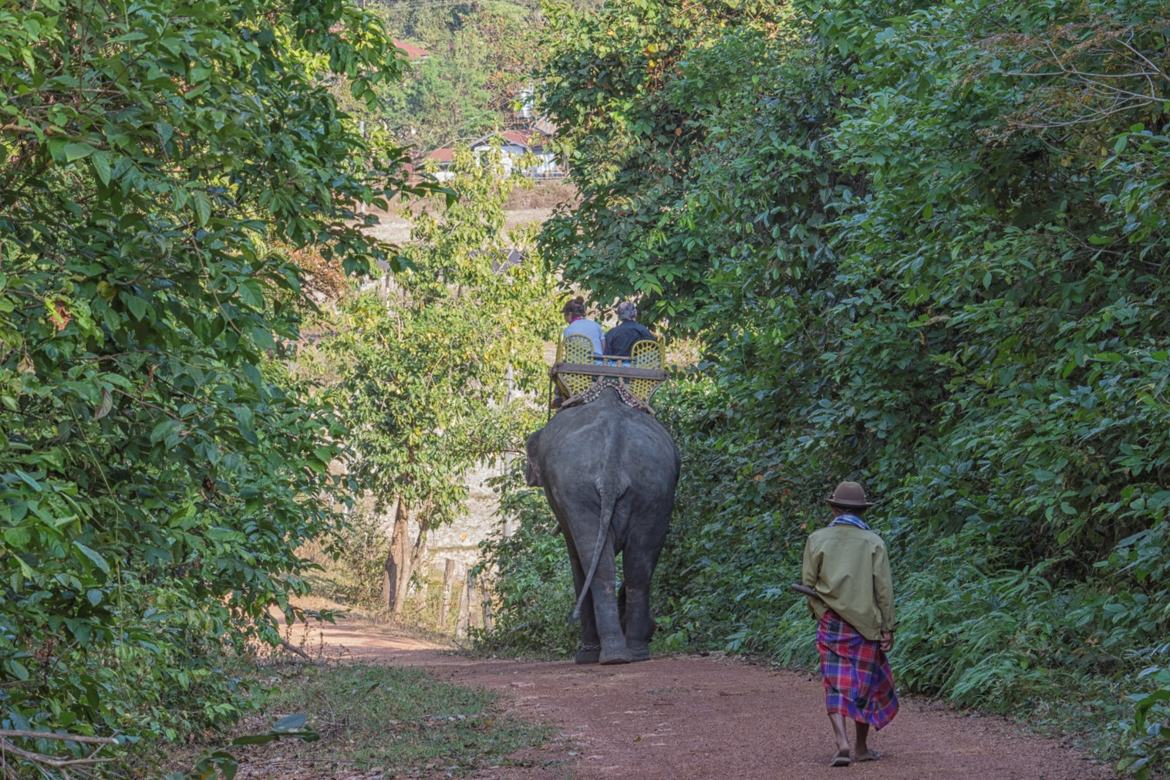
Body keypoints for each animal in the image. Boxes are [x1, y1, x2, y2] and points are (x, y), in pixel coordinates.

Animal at [526, 383, 683, 664]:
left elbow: (576, 558)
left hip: (578, 490)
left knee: (596, 567)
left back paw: (601, 656)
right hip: (655, 488)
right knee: (639, 565)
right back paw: (633, 653)